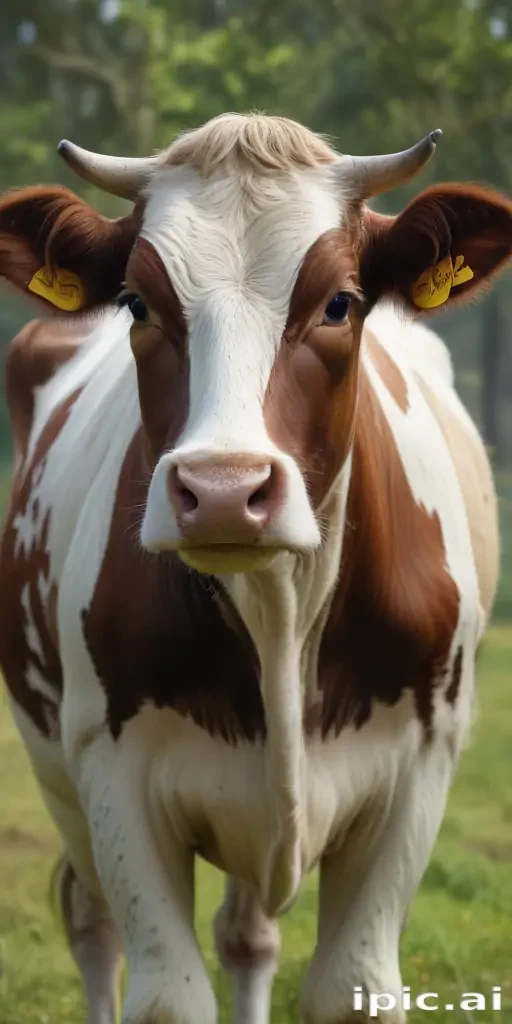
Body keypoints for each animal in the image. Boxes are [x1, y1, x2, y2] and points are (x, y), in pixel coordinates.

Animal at [0, 113, 509, 1024]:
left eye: (340, 302)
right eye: (137, 302)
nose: (224, 491)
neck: (279, 609)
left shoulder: (420, 768)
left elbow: (351, 986)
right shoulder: (111, 770)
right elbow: (168, 996)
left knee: (247, 936)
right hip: (58, 772)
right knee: (91, 920)